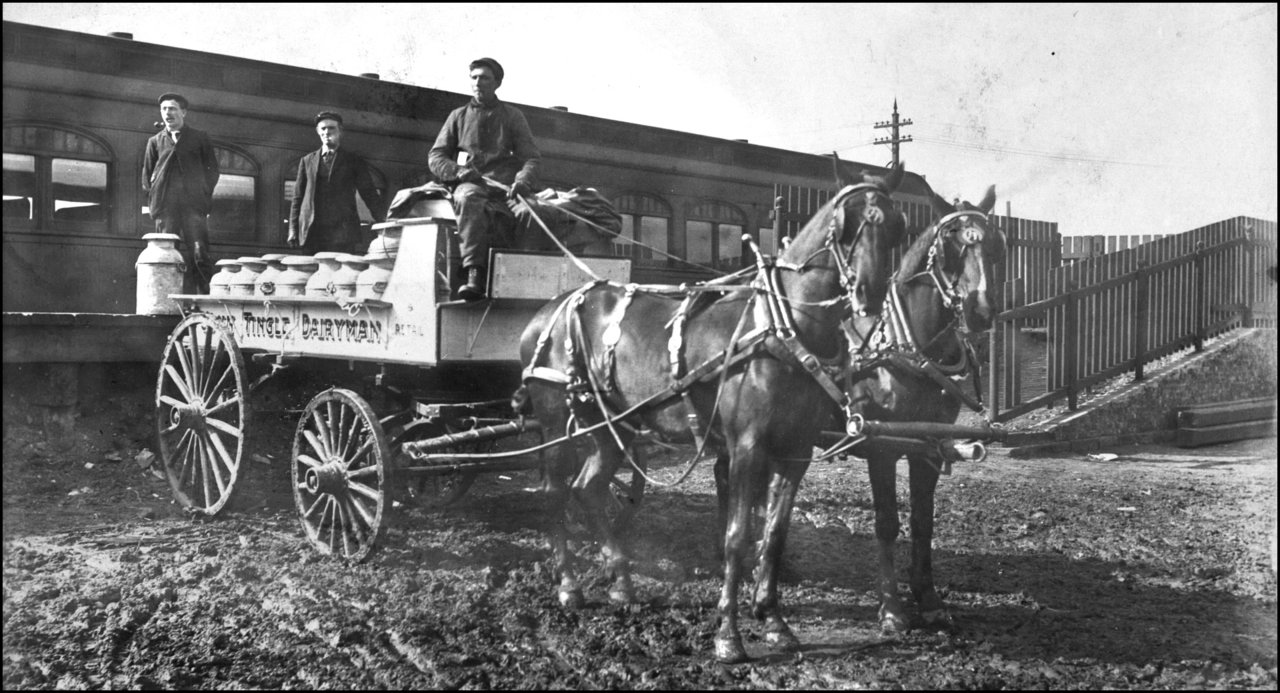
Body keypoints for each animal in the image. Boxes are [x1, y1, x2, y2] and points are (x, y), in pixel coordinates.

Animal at [514, 165, 906, 660]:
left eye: (897, 227)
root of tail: (547, 310)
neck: (782, 328)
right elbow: (736, 535)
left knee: (588, 488)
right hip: (555, 422)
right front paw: (728, 634)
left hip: (610, 425)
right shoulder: (746, 448)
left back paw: (621, 580)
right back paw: (568, 584)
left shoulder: (794, 451)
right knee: (555, 491)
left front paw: (773, 620)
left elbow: (774, 534)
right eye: (845, 224)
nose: (868, 295)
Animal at [844, 187, 1003, 630]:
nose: (981, 310)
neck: (907, 348)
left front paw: (928, 597)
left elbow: (922, 521)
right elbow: (886, 522)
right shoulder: (880, 446)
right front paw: (891, 608)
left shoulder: (928, 445)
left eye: (997, 243)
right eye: (951, 242)